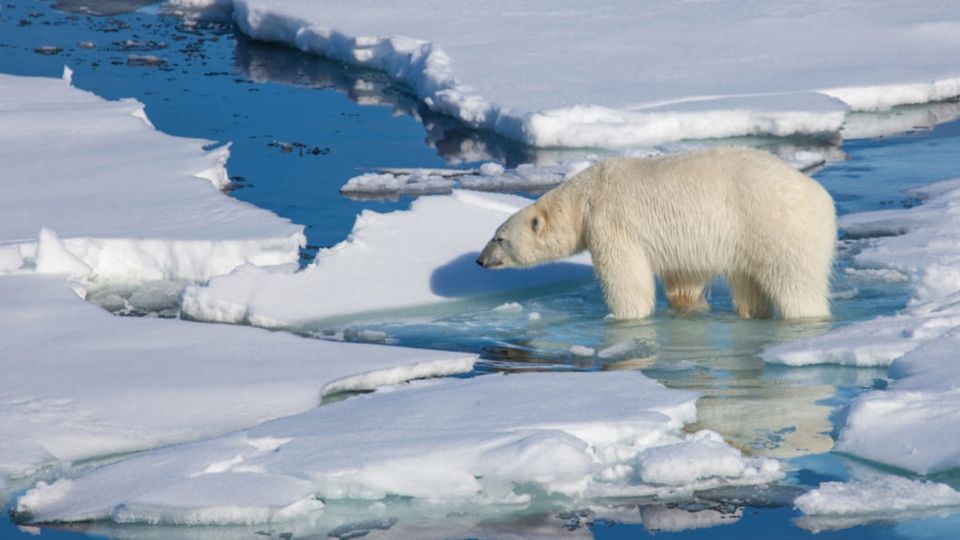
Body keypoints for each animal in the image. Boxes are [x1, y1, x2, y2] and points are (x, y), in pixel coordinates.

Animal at [476, 146, 836, 318]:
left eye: (499, 238)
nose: (480, 261)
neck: (584, 197)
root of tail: (824, 199)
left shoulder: (611, 220)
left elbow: (627, 280)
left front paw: (623, 317)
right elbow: (684, 283)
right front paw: (687, 308)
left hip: (778, 227)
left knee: (795, 285)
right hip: (748, 237)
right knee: (749, 286)